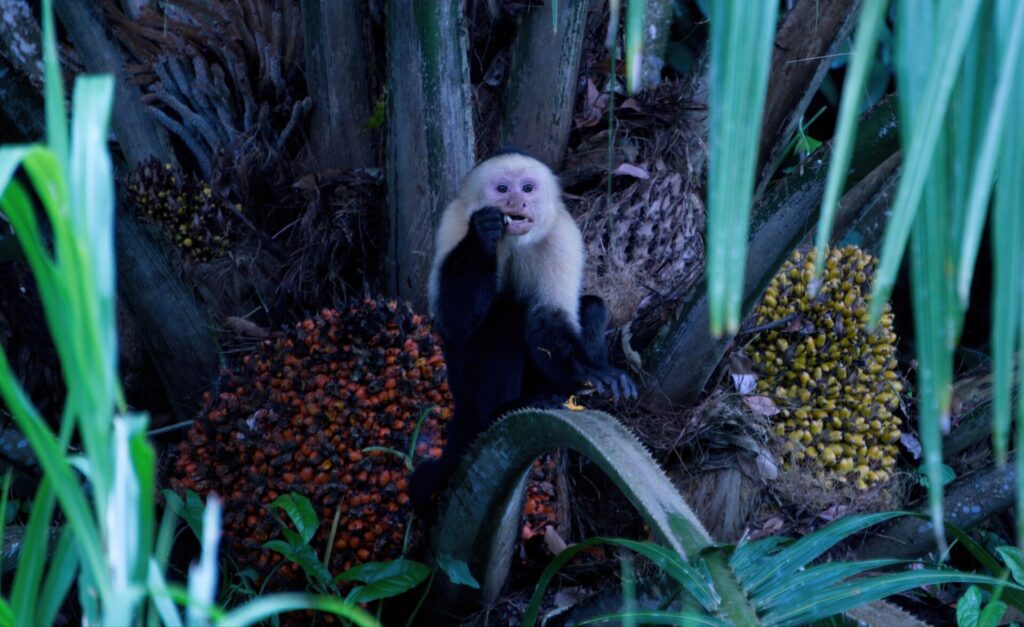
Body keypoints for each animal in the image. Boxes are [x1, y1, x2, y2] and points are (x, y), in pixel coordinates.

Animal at [409, 150, 637, 507]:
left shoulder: (563, 234)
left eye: (528, 188)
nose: (517, 201)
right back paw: (502, 410)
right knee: (503, 319)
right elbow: (454, 322)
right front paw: (483, 234)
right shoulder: (453, 222)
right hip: (463, 383)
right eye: (503, 188)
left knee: (589, 308)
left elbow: (550, 319)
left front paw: (591, 369)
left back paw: (561, 391)